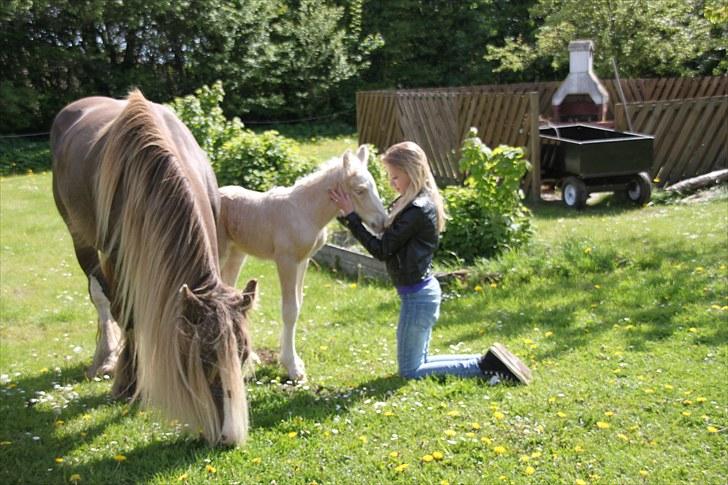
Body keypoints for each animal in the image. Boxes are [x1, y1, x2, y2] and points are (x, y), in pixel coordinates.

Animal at [51, 89, 258, 444]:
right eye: (203, 360)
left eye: (242, 355)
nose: (229, 437)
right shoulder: (118, 259)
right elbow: (127, 315)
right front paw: (126, 382)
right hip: (81, 239)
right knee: (100, 297)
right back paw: (106, 358)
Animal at [216, 146, 386, 380]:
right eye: (360, 190)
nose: (383, 223)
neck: (306, 212)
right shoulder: (286, 260)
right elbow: (289, 310)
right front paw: (292, 367)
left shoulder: (303, 261)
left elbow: (298, 305)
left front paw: (291, 359)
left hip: (237, 253)